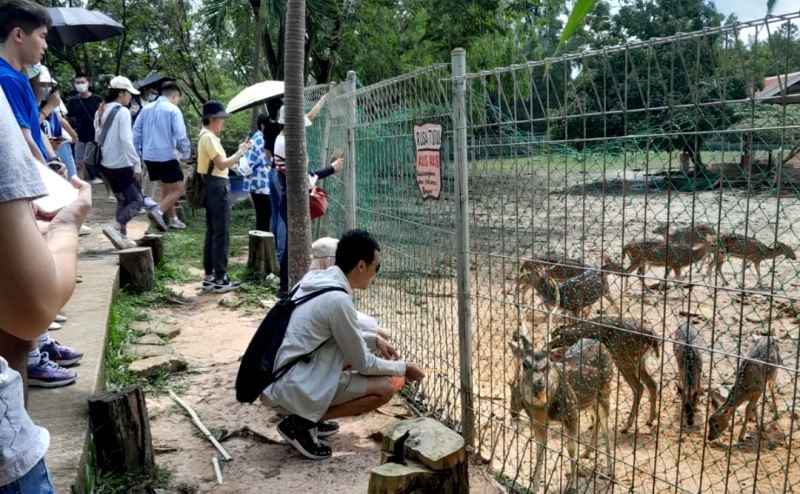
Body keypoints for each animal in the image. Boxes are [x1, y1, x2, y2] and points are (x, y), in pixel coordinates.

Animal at [510, 334, 616, 492]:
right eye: (525, 364)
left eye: (548, 364)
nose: (539, 384)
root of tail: (601, 344)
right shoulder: (537, 421)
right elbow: (539, 450)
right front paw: (534, 487)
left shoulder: (571, 413)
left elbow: (571, 448)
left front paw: (572, 485)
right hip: (589, 400)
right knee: (596, 418)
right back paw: (586, 453)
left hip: (605, 389)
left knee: (606, 427)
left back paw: (609, 472)